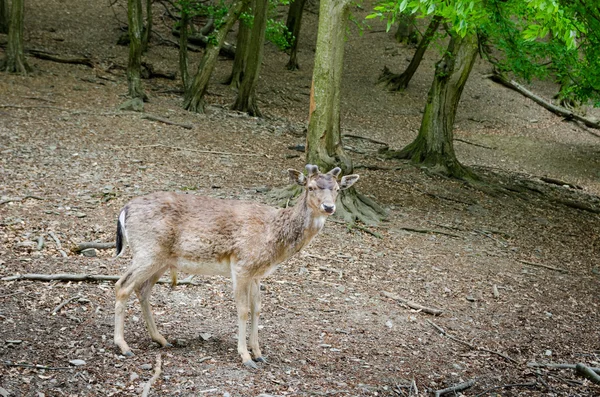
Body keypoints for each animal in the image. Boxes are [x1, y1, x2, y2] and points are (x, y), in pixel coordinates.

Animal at [112, 162, 358, 366]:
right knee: (122, 285)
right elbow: (242, 310)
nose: (328, 207)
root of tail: (124, 209)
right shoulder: (241, 266)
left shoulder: (257, 274)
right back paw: (124, 346)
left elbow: (257, 309)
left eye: (337, 189)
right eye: (311, 187)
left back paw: (161, 339)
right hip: (147, 251)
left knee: (142, 289)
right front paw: (245, 357)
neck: (274, 238)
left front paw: (259, 353)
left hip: (162, 259)